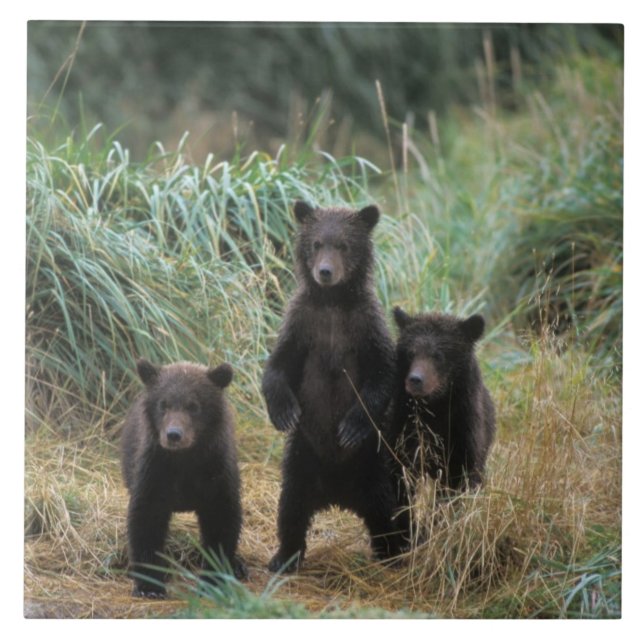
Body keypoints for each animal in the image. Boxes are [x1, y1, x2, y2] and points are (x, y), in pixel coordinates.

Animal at [121, 358, 245, 598]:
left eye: (193, 405)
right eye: (164, 404)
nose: (174, 435)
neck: (185, 460)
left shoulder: (216, 472)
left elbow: (221, 519)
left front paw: (213, 579)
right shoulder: (155, 470)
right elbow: (146, 520)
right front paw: (150, 585)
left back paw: (238, 566)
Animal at [261, 201, 407, 572]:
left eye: (343, 244)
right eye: (317, 244)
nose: (325, 271)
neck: (332, 302)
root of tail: (338, 494)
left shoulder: (364, 326)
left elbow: (382, 375)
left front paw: (351, 426)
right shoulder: (302, 324)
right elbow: (278, 365)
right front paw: (284, 412)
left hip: (374, 464)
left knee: (388, 510)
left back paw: (395, 554)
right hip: (302, 456)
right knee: (291, 506)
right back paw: (283, 557)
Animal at [389, 307, 496, 497]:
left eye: (438, 355)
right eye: (410, 353)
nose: (415, 380)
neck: (436, 404)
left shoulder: (463, 429)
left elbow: (461, 477)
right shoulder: (405, 428)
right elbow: (402, 472)